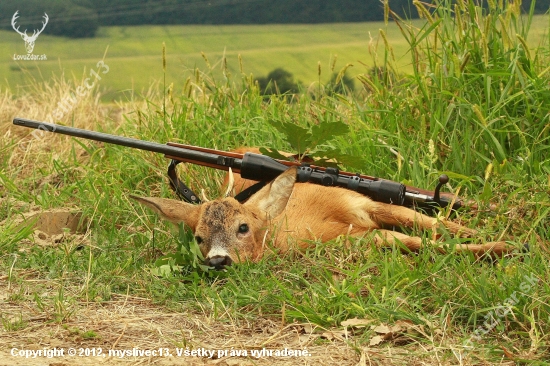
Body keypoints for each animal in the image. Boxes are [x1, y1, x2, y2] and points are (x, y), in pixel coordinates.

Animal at [132, 166, 516, 268]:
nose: (216, 261)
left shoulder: (359, 202)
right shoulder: (358, 237)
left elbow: (432, 226)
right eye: (198, 238)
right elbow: (410, 239)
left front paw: (508, 243)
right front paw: (501, 247)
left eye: (243, 227)